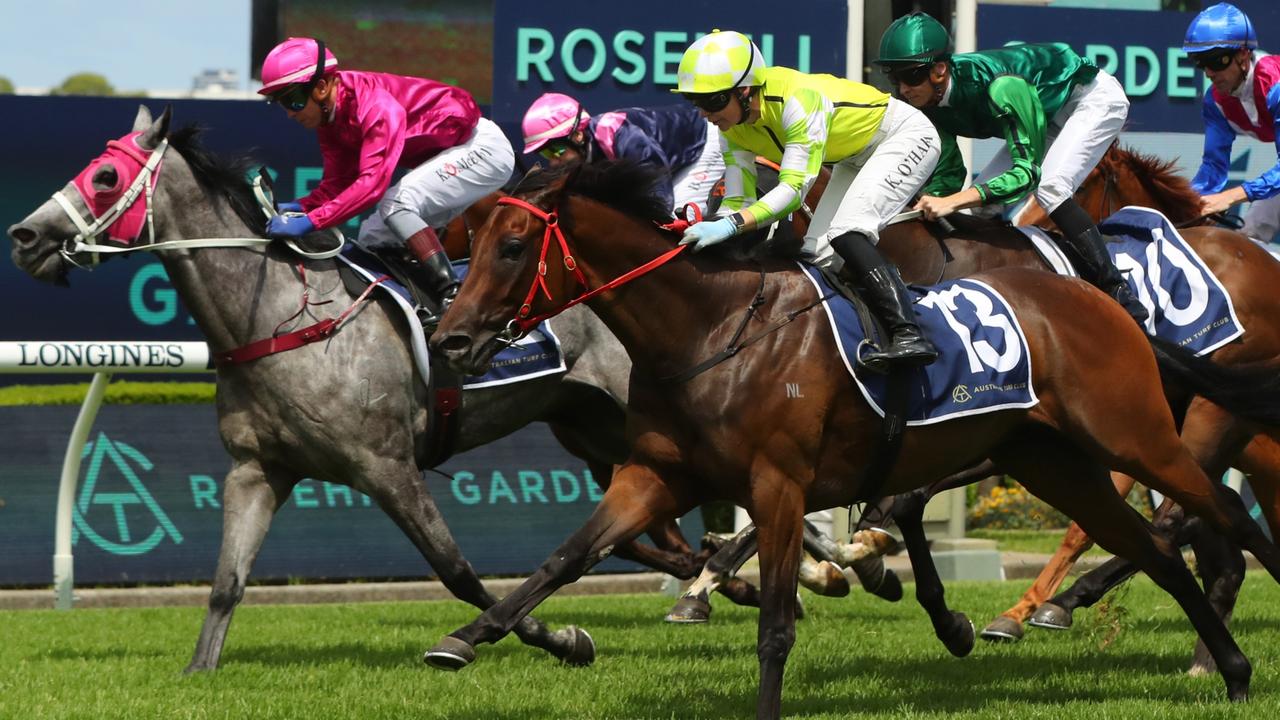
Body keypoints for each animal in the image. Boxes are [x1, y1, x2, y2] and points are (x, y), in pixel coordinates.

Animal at [2, 106, 711, 671]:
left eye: (105, 177)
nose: (24, 236)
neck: (281, 319)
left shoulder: (386, 465)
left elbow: (459, 572)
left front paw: (554, 639)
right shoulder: (257, 469)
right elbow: (226, 584)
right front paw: (199, 672)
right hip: (595, 431)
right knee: (661, 533)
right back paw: (711, 580)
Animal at [424, 156, 1280, 712]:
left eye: (511, 246)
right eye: (471, 238)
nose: (451, 339)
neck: (710, 330)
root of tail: (1104, 298)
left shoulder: (779, 485)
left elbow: (775, 623)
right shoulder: (654, 475)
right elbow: (566, 558)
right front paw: (466, 639)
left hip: (1143, 439)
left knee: (1223, 520)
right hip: (1053, 462)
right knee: (1159, 551)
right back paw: (1230, 668)